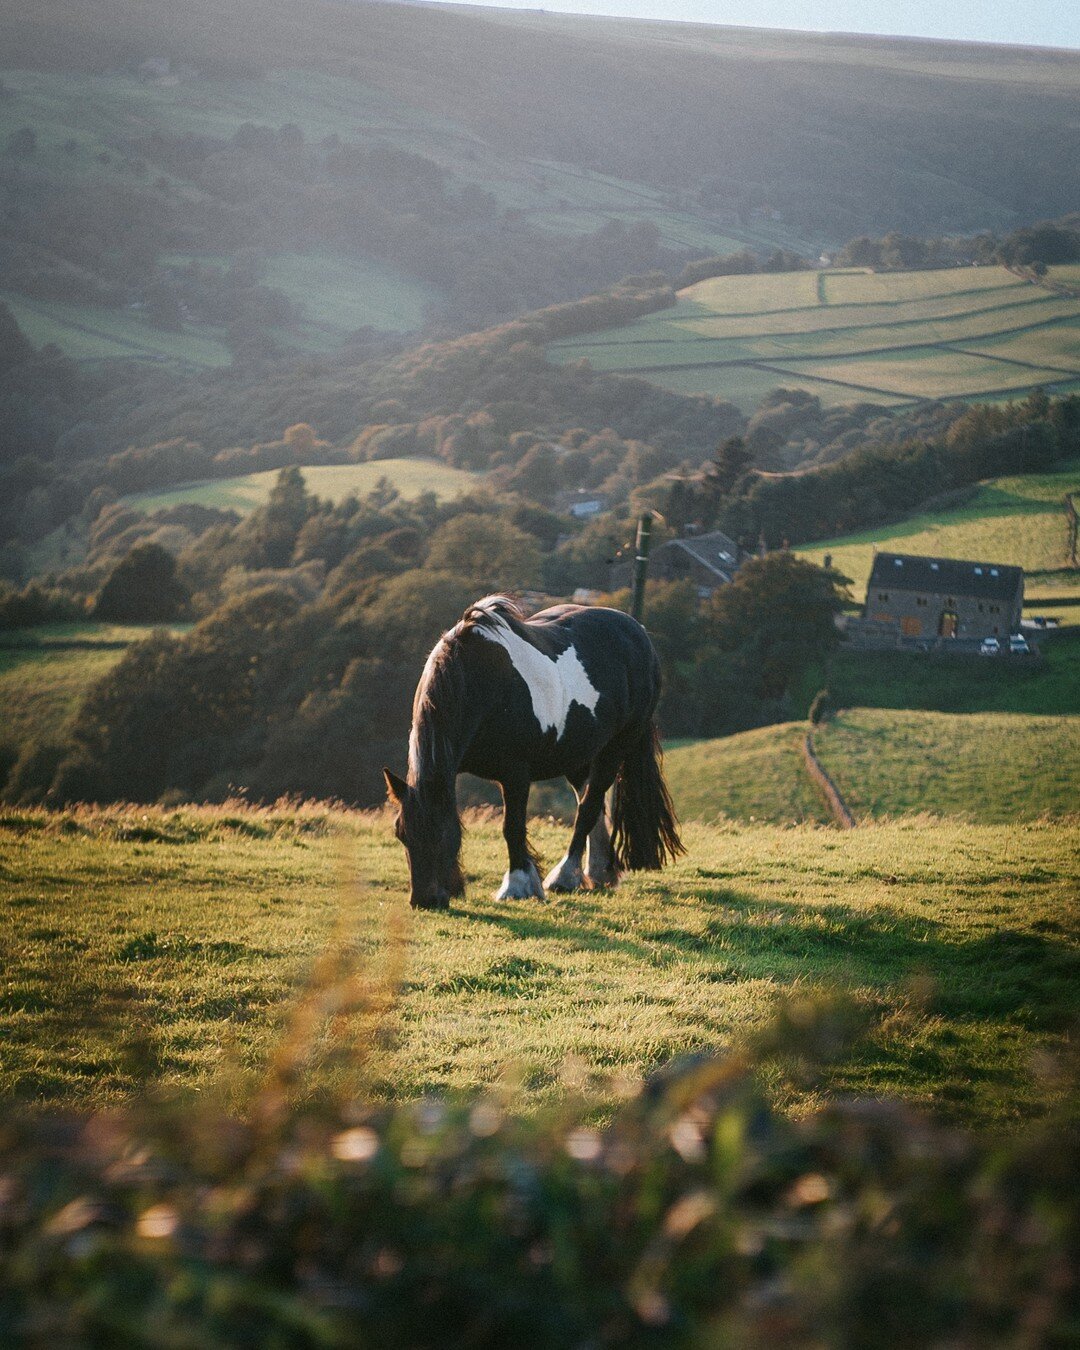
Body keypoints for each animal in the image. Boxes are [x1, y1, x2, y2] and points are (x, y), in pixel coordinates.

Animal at [380, 599, 683, 907]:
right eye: (401, 834)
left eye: (442, 834)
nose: (425, 900)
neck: (480, 681)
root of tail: (638, 632)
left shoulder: (515, 774)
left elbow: (512, 827)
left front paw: (517, 885)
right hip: (577, 755)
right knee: (592, 804)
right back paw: (598, 873)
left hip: (614, 749)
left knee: (588, 807)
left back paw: (565, 877)